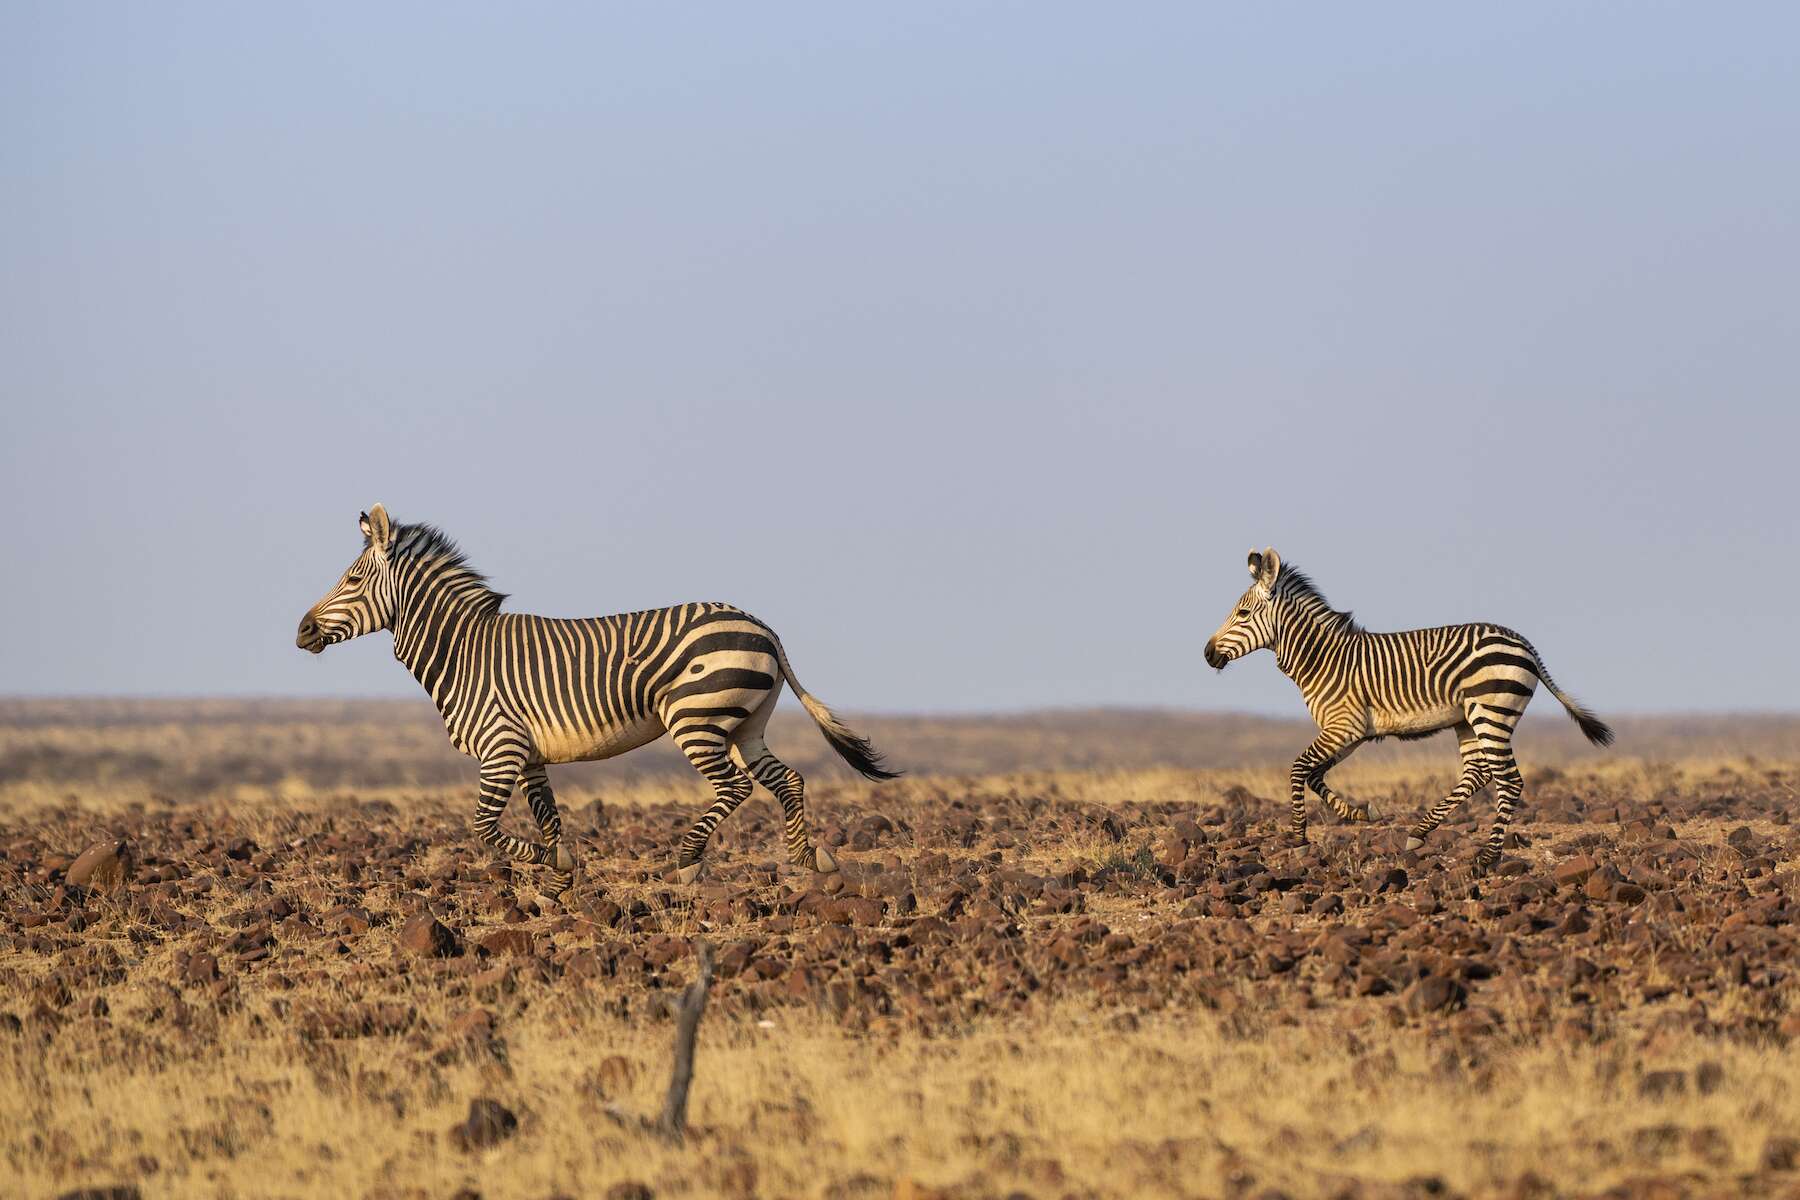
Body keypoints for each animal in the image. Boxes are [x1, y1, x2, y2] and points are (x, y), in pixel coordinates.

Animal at [294, 504, 897, 900]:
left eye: (352, 580)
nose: (301, 631)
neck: (463, 652)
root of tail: (763, 627)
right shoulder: (530, 755)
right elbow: (548, 816)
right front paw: (558, 883)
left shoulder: (501, 749)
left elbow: (485, 827)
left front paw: (551, 866)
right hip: (745, 723)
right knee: (787, 780)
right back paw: (810, 859)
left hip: (696, 717)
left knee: (737, 787)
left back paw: (688, 862)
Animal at [1201, 548, 1613, 872]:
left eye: (1242, 614)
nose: (1207, 654)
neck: (1323, 658)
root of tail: (1523, 643)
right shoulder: (1351, 732)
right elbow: (1315, 774)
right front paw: (1360, 813)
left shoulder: (1345, 726)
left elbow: (1299, 768)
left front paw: (1300, 837)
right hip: (1468, 720)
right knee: (1477, 774)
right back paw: (1419, 832)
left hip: (1490, 713)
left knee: (1509, 780)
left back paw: (1487, 857)